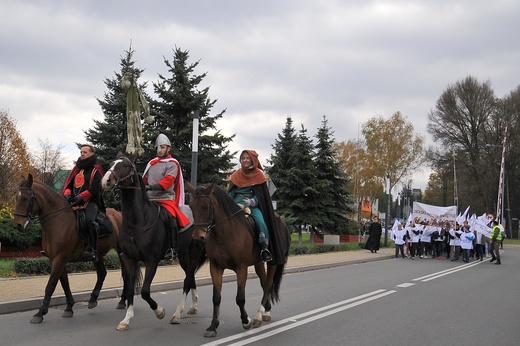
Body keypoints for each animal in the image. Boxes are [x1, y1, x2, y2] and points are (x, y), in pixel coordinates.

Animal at [12, 174, 126, 324]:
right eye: (16, 198)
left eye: (25, 198)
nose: (18, 225)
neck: (58, 221)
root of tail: (119, 213)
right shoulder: (56, 259)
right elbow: (64, 284)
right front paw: (69, 308)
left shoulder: (60, 259)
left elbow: (50, 285)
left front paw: (40, 312)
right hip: (98, 255)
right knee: (102, 273)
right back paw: (93, 299)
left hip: (122, 252)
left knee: (126, 274)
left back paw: (123, 301)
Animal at [100, 153, 206, 330]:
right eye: (111, 163)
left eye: (125, 166)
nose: (106, 181)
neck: (138, 221)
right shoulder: (129, 259)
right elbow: (130, 289)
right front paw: (126, 319)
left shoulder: (152, 261)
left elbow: (144, 291)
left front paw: (159, 311)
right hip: (183, 255)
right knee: (190, 276)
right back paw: (193, 306)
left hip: (194, 253)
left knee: (187, 279)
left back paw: (177, 314)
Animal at [187, 184, 292, 338]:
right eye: (191, 206)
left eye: (205, 207)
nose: (197, 238)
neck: (224, 231)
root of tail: (282, 222)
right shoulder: (216, 267)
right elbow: (216, 297)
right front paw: (213, 326)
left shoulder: (241, 268)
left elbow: (240, 298)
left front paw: (245, 321)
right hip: (258, 263)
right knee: (264, 283)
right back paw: (266, 311)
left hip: (273, 262)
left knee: (268, 284)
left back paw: (258, 316)